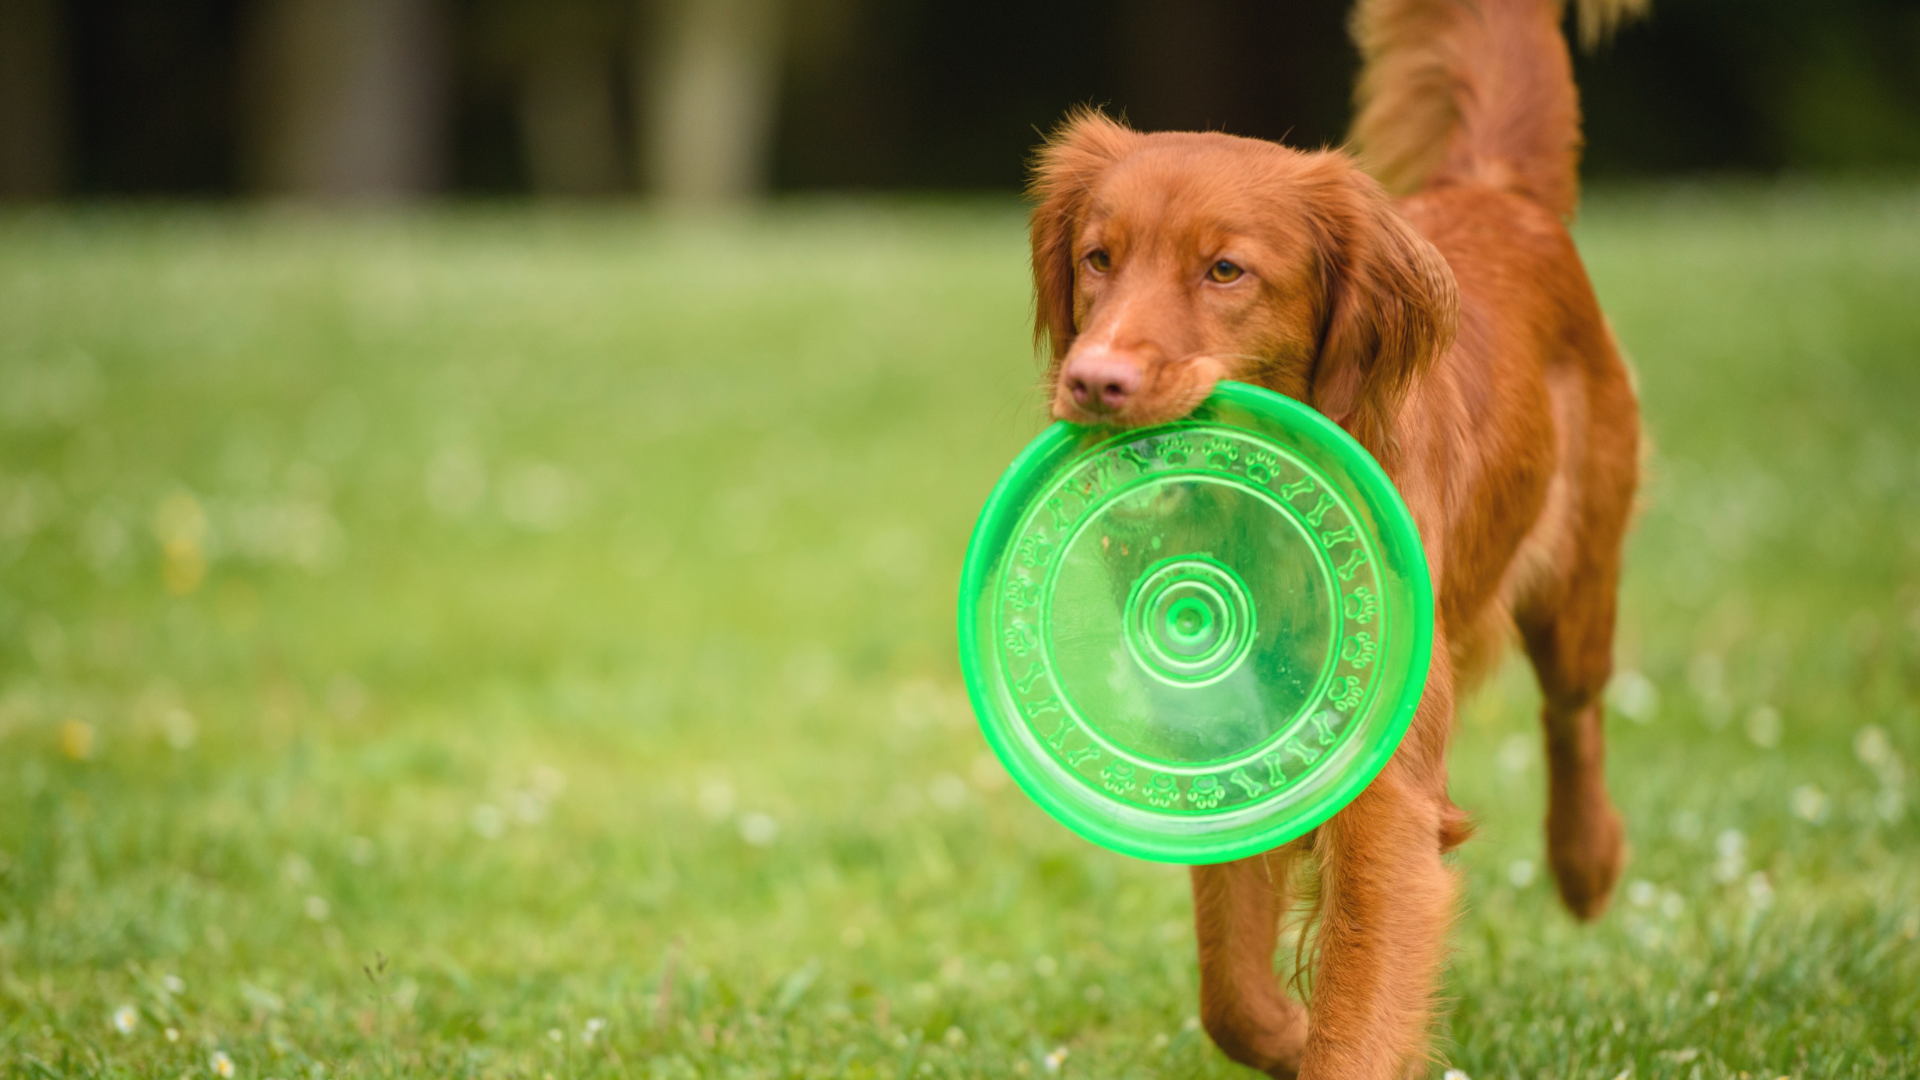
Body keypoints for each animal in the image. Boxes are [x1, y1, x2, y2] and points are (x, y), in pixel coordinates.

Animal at [1029, 0, 1643, 1068]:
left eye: (1225, 271)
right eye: (1098, 257)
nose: (1095, 380)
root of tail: (1496, 190)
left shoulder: (1388, 797)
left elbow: (1359, 1013)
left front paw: (1322, 1034)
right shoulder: (1228, 740)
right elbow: (1231, 989)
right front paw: (1285, 1034)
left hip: (1575, 584)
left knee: (1575, 713)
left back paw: (1587, 863)